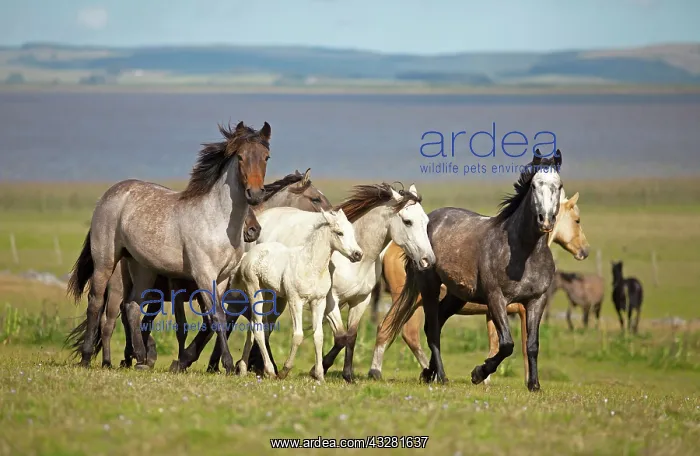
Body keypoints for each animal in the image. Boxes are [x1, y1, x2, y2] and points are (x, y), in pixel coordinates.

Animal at [65, 121, 271, 373]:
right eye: (241, 157)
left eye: (266, 157)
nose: (255, 194)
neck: (216, 220)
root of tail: (107, 195)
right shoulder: (204, 275)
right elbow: (217, 317)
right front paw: (228, 365)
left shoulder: (222, 279)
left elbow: (214, 319)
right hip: (106, 261)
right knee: (96, 303)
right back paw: (88, 358)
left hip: (142, 268)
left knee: (132, 307)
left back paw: (141, 359)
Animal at [232, 208, 363, 380]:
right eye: (339, 232)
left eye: (352, 232)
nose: (358, 254)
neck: (311, 265)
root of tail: (248, 255)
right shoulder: (295, 300)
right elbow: (298, 335)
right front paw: (284, 370)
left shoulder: (319, 302)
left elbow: (318, 336)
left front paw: (319, 375)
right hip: (254, 290)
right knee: (258, 327)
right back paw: (270, 370)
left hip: (267, 294)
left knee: (254, 326)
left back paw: (242, 368)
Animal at [368, 189, 589, 383]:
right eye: (577, 220)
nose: (585, 251)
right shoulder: (513, 309)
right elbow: (516, 345)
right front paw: (491, 375)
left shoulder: (497, 312)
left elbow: (504, 344)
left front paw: (489, 376)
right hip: (420, 296)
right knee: (400, 330)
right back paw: (386, 372)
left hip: (451, 299)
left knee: (426, 327)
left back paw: (428, 372)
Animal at [384, 150, 563, 392]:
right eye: (534, 185)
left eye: (559, 186)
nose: (545, 220)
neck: (524, 253)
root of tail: (431, 219)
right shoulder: (496, 299)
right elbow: (507, 344)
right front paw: (478, 373)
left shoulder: (537, 300)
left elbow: (532, 344)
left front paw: (534, 385)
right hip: (430, 288)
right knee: (432, 329)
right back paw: (441, 376)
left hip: (457, 295)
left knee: (438, 321)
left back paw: (429, 372)